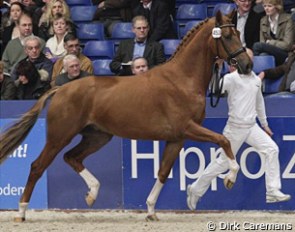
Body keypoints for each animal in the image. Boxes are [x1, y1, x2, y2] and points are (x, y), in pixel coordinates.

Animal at [0, 10, 252, 221]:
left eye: (239, 33)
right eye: (227, 35)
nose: (247, 65)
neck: (181, 80)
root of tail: (60, 89)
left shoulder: (177, 138)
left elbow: (163, 172)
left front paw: (150, 211)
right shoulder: (188, 128)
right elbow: (224, 141)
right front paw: (230, 178)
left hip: (97, 136)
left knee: (72, 158)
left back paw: (92, 194)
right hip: (59, 137)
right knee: (37, 166)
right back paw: (21, 213)